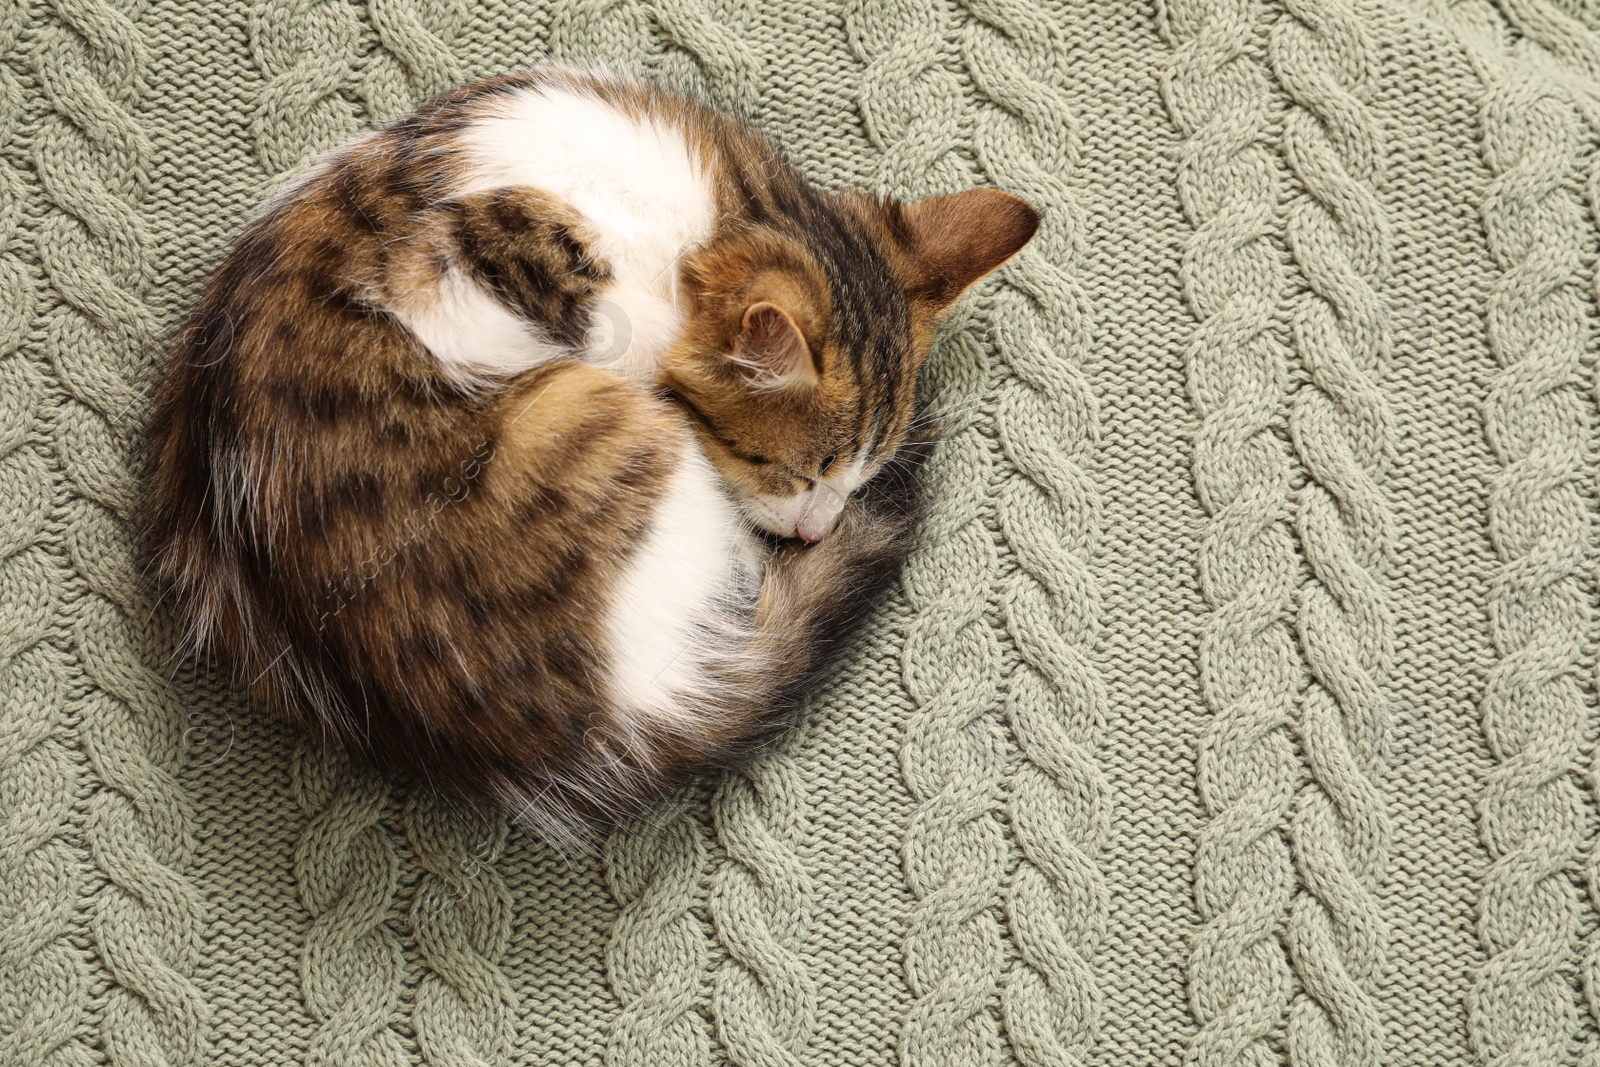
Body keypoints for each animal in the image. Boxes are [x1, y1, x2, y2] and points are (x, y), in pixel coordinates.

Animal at [137, 66, 1036, 844]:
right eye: (794, 472)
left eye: (856, 477)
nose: (816, 532)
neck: (713, 213)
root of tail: (636, 715)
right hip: (608, 427)